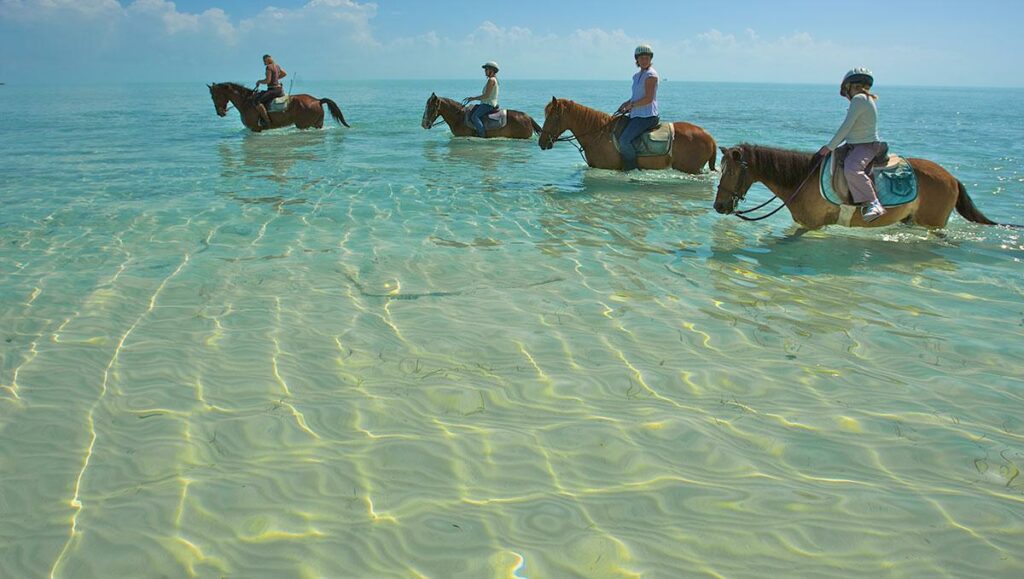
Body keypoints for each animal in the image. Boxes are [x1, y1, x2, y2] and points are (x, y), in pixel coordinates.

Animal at [206, 81, 348, 131]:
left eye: (214, 96)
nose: (220, 113)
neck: (245, 102)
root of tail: (317, 100)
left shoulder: (255, 128)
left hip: (304, 125)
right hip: (317, 124)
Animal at [712, 142, 1007, 228]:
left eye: (731, 172)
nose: (718, 206)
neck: (801, 179)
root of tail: (951, 177)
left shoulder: (812, 226)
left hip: (933, 224)